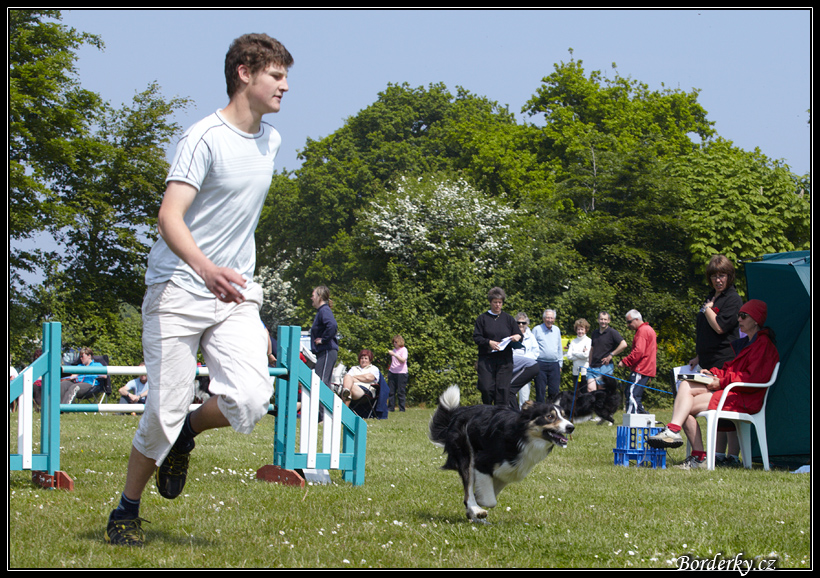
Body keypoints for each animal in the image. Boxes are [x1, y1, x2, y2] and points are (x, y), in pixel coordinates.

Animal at [432, 384, 572, 520]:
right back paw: (476, 510)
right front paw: (478, 504)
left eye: (564, 416)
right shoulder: (482, 462)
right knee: (468, 490)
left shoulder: (509, 471)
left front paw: (475, 504)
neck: (521, 437)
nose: (571, 427)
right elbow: (490, 500)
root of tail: (456, 415)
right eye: (550, 416)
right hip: (466, 452)